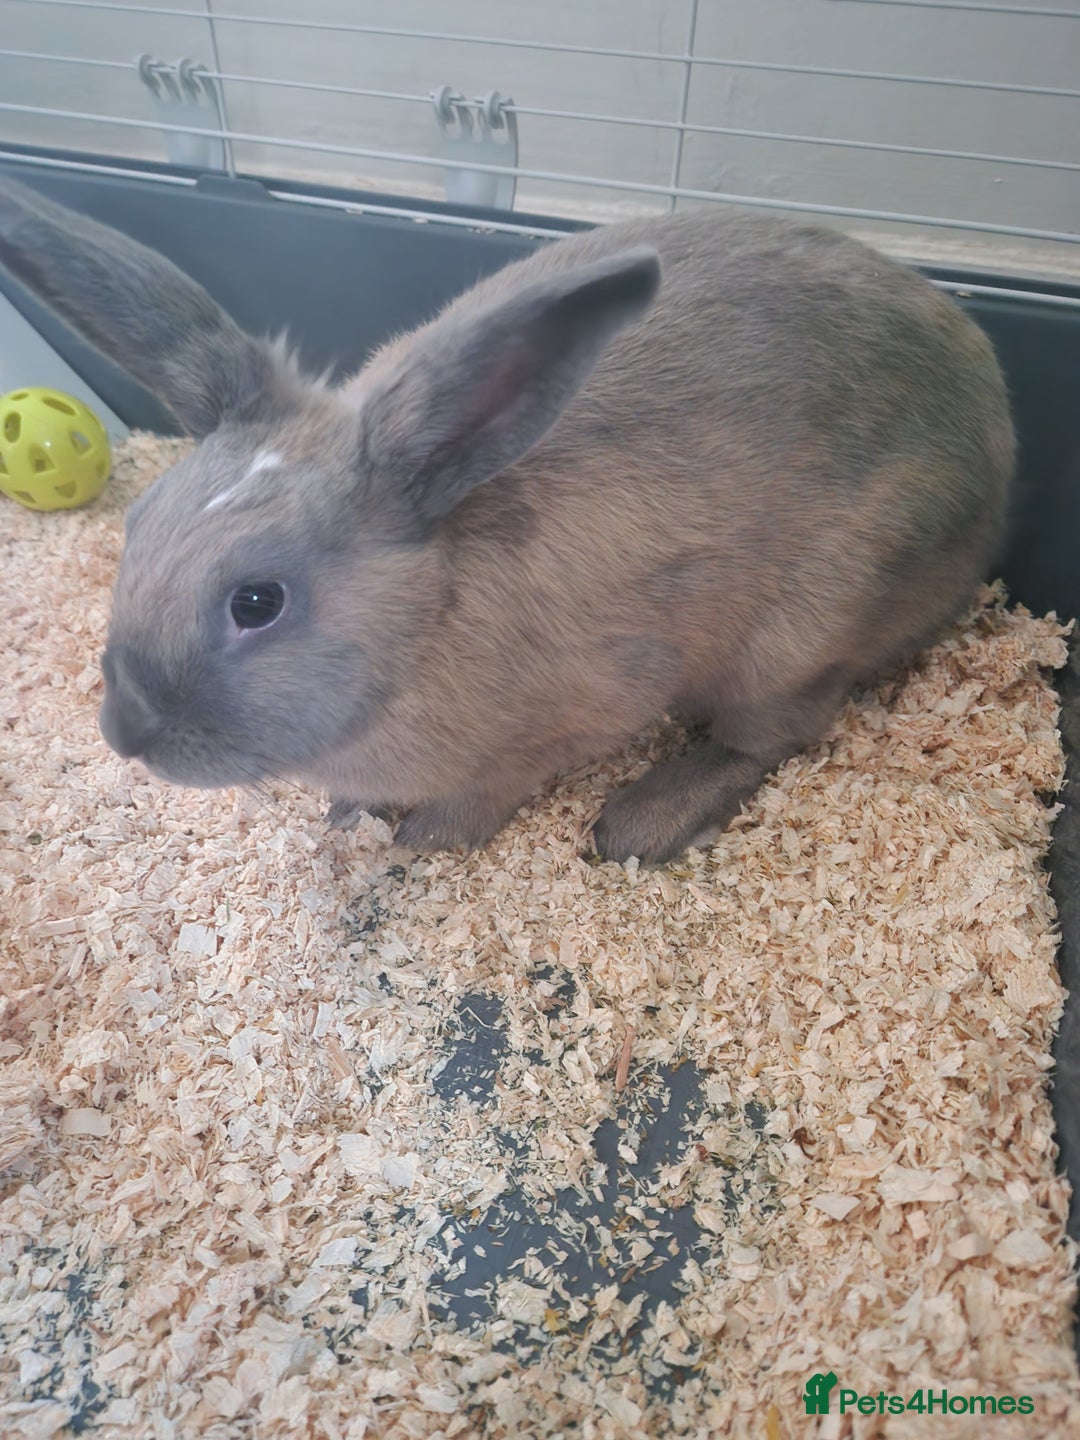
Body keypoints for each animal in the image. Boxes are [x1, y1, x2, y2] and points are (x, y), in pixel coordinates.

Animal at [0, 177, 1014, 864]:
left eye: (258, 602)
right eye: (137, 527)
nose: (124, 728)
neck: (424, 625)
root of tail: (1001, 446)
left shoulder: (574, 717)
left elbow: (490, 791)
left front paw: (422, 841)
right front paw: (349, 816)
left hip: (801, 636)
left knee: (774, 735)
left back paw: (641, 821)